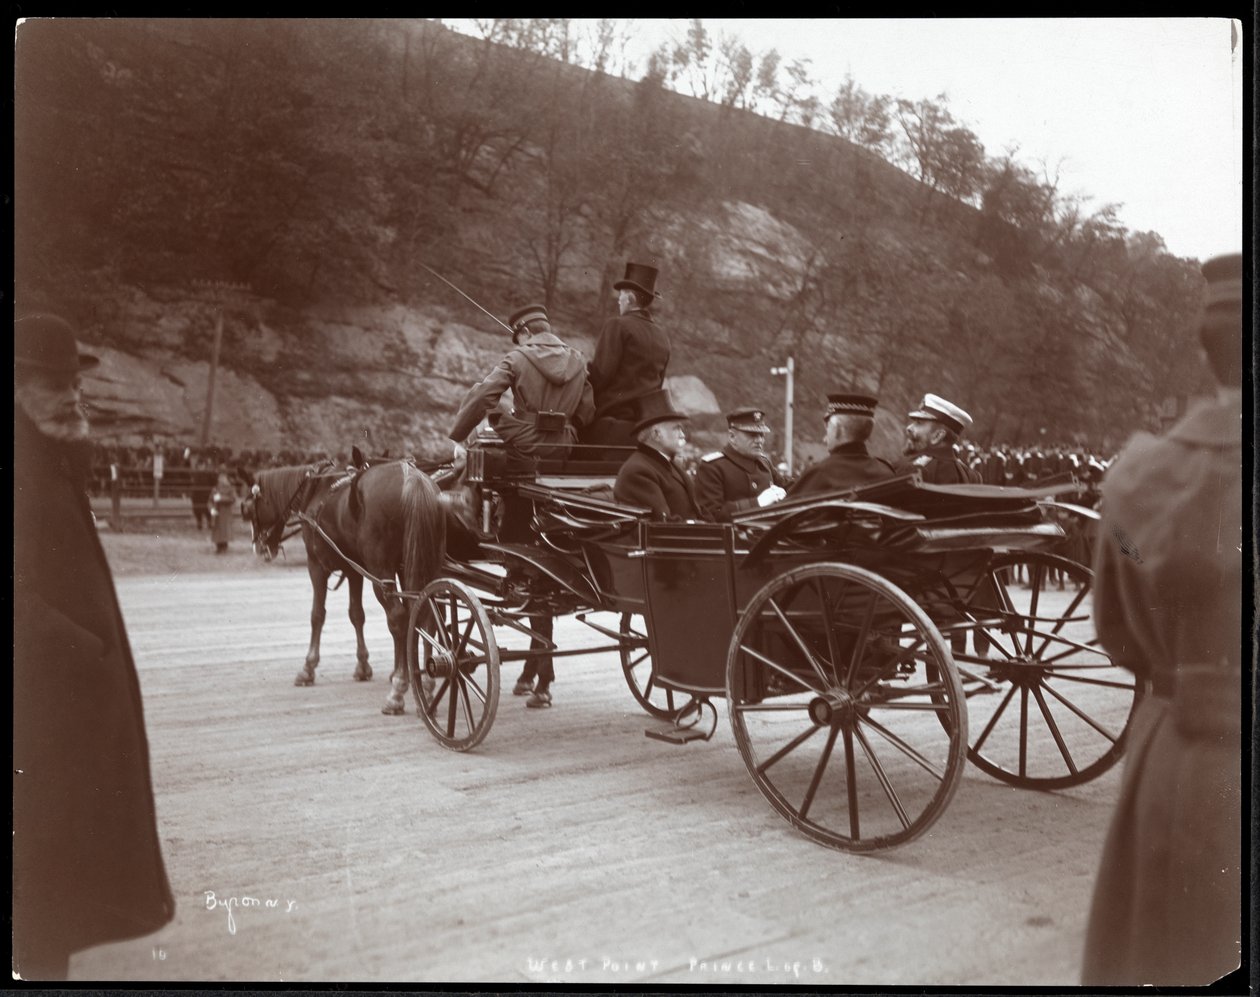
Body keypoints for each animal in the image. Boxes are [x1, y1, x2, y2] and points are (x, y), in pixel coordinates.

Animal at [248, 456, 451, 715]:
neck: (316, 490)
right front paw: (363, 666)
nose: (260, 547)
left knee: (399, 618)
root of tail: (413, 479)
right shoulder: (354, 570)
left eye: (249, 508)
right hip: (422, 562)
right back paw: (426, 686)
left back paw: (398, 690)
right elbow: (356, 614)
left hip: (381, 571)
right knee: (427, 615)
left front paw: (308, 668)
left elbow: (317, 615)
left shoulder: (316, 565)